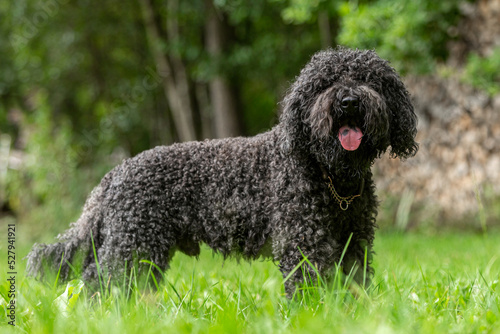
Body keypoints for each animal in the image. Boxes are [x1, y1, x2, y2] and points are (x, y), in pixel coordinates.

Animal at [27, 46, 418, 294]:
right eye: (324, 83)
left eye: (368, 79)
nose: (348, 100)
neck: (330, 175)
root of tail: (114, 175)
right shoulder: (304, 243)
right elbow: (309, 287)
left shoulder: (354, 242)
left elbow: (353, 286)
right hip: (132, 245)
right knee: (102, 281)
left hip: (140, 247)